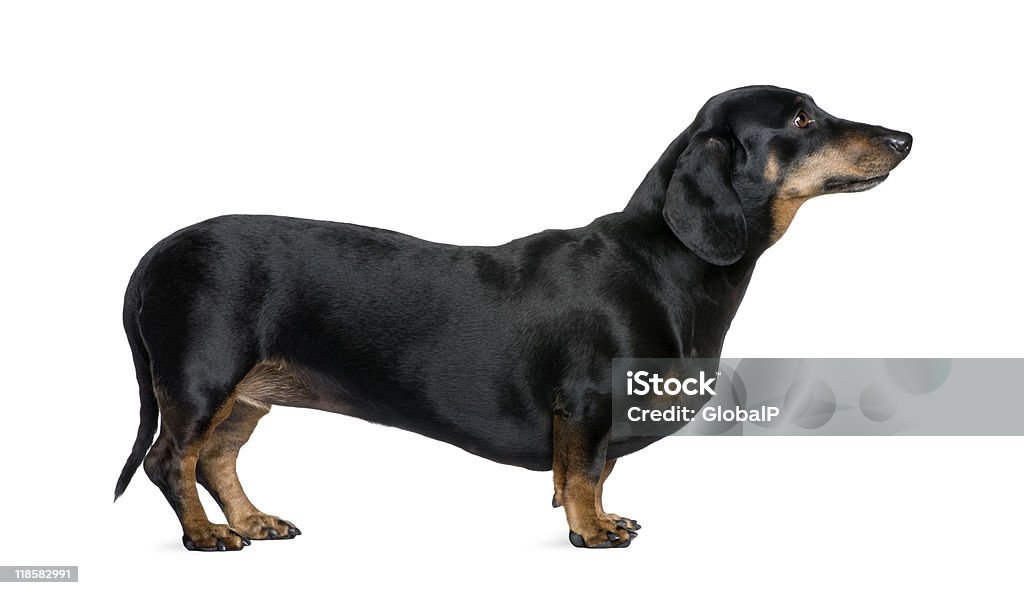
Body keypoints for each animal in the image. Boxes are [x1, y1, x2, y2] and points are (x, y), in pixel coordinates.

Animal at [114, 86, 913, 548]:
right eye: (802, 118)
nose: (905, 138)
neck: (662, 260)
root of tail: (155, 254)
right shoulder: (586, 400)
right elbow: (585, 470)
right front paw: (592, 531)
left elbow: (596, 470)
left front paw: (603, 517)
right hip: (202, 377)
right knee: (171, 459)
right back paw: (207, 537)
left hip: (248, 393)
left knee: (217, 458)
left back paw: (252, 521)